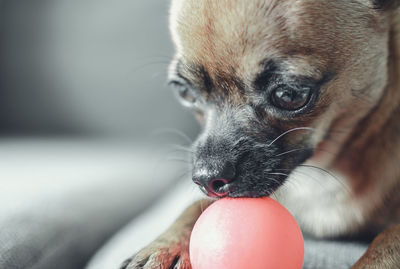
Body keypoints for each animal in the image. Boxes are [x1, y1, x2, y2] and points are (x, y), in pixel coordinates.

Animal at [121, 1, 400, 266]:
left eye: (289, 95)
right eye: (184, 92)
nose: (206, 178)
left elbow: (389, 240)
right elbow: (191, 209)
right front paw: (163, 248)